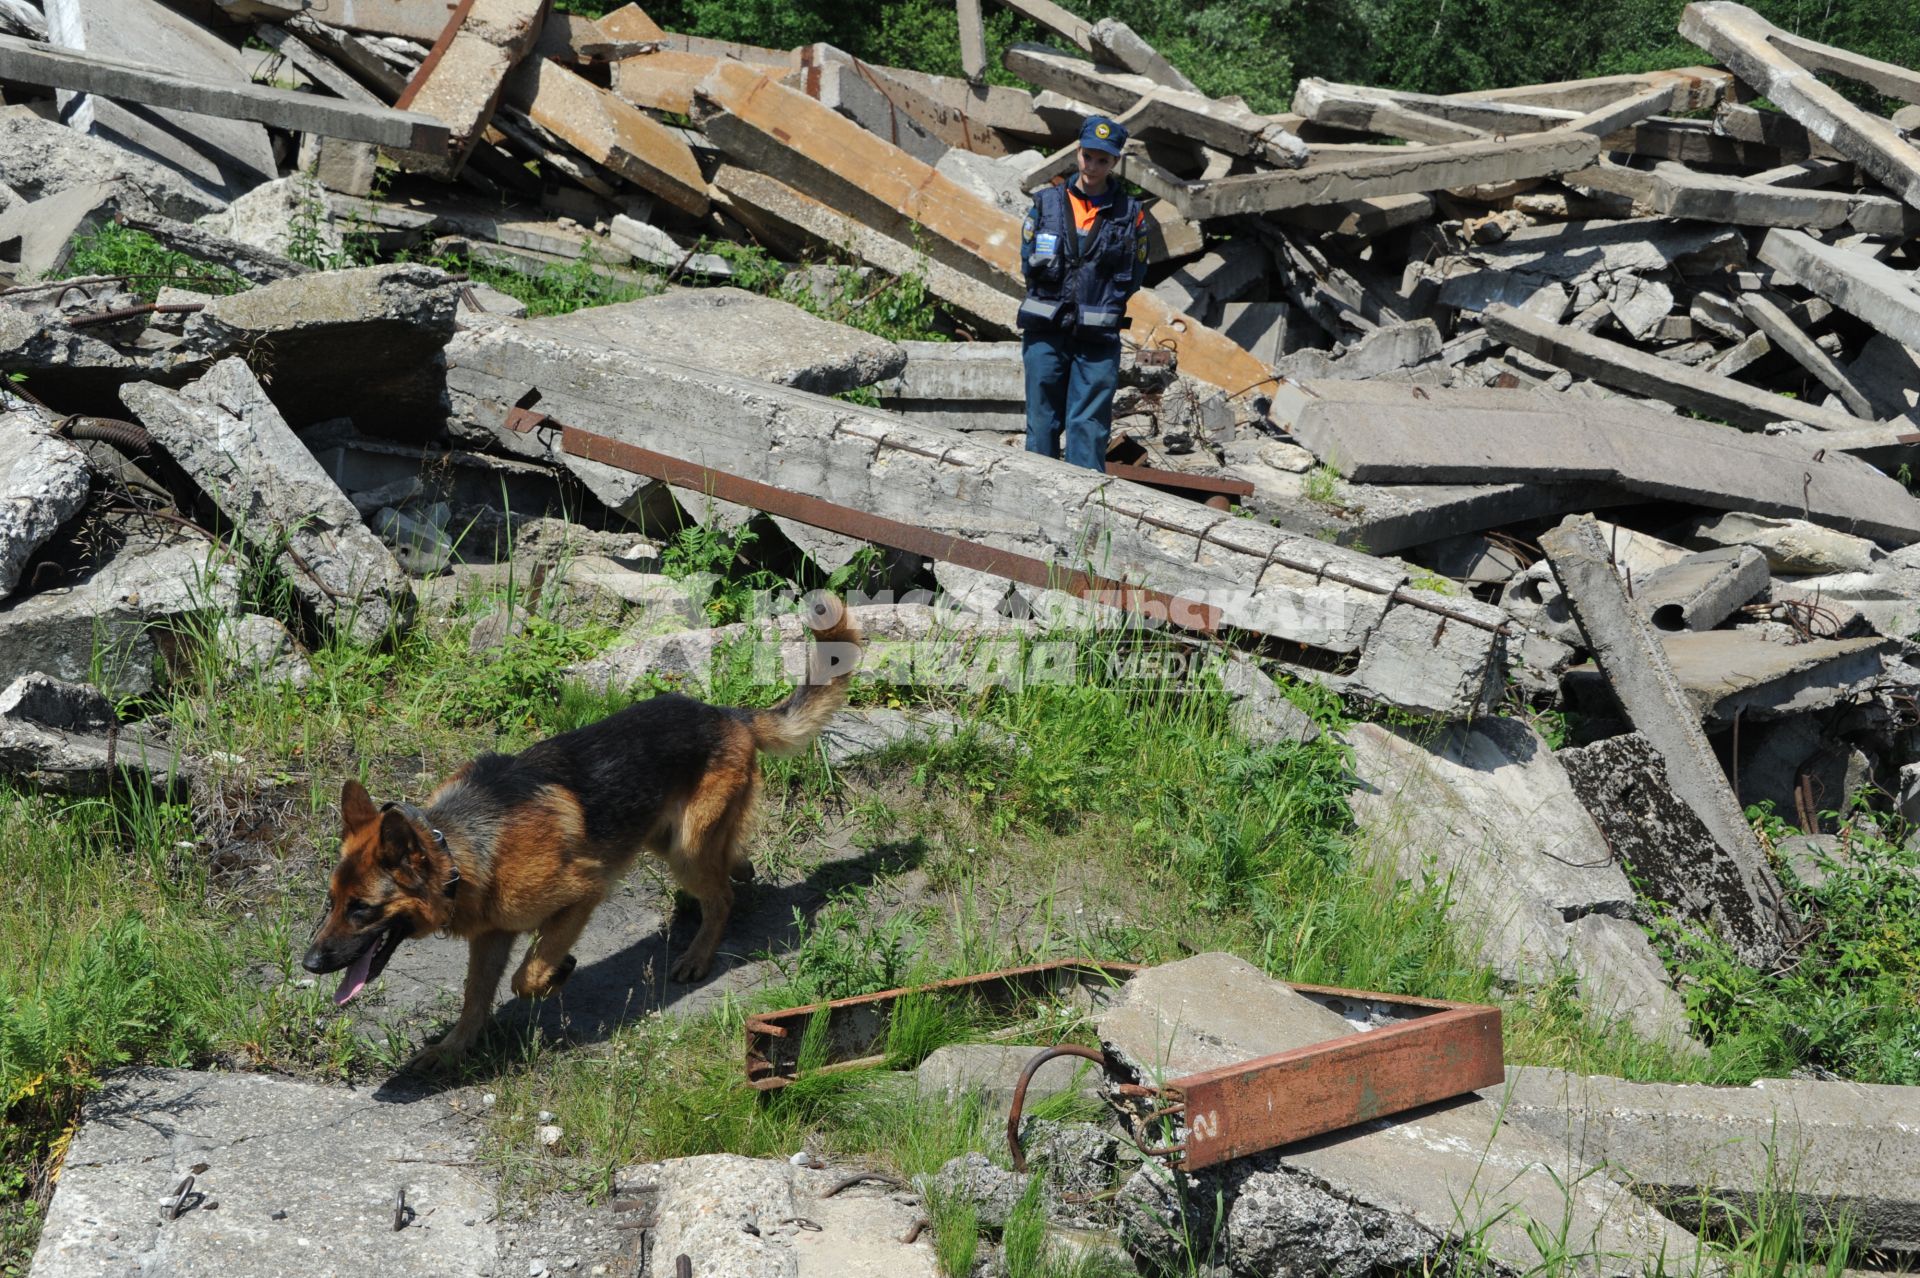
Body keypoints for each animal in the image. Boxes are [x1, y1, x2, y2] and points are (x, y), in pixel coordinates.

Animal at [297, 594, 864, 1066]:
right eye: (331, 902)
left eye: (362, 909)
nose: (308, 962)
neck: (458, 846)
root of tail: (731, 714)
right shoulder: (492, 934)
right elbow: (475, 996)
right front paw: (453, 1048)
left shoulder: (583, 891)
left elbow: (526, 976)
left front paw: (558, 972)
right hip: (667, 838)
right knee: (731, 866)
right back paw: (735, 878)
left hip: (684, 848)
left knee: (721, 896)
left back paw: (699, 955)